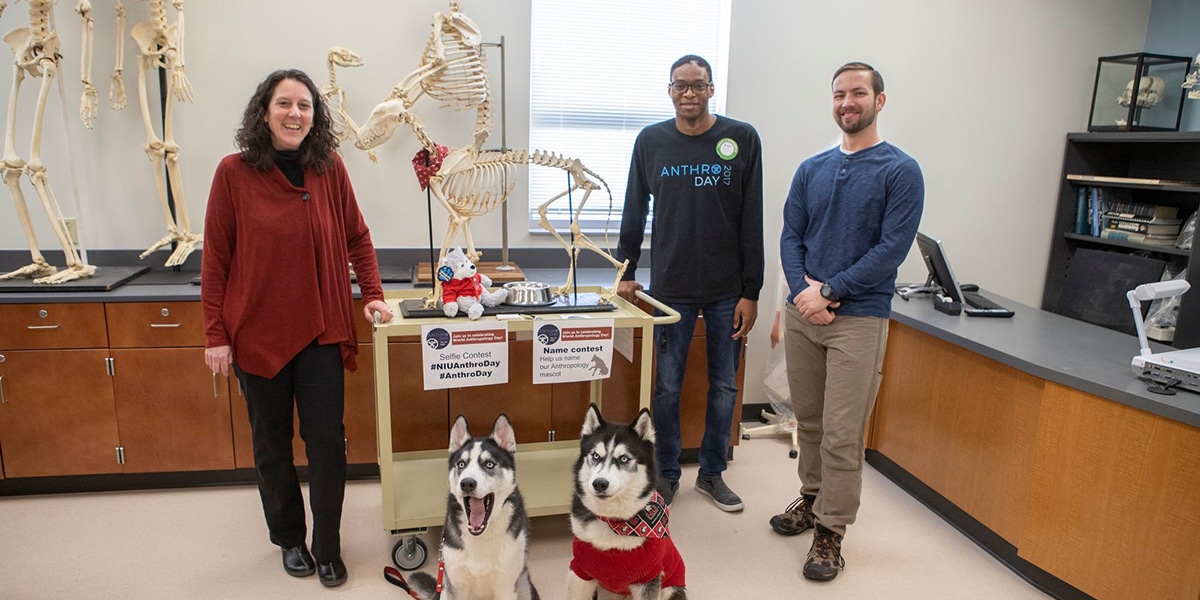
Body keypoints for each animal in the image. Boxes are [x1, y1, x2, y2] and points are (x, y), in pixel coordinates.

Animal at [403, 415, 540, 600]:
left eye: (489, 464)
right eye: (461, 464)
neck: (481, 536)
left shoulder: (506, 586)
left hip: (524, 585)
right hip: (444, 590)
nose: (467, 483)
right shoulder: (455, 585)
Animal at [568, 405, 691, 597]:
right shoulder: (580, 573)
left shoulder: (649, 578)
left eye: (624, 458)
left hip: (670, 589)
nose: (599, 483)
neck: (612, 520)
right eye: (595, 455)